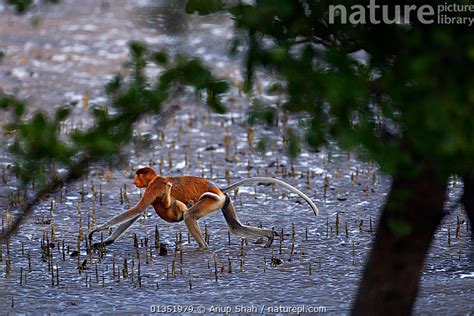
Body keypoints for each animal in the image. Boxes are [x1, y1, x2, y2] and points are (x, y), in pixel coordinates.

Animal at [89, 167, 318, 251]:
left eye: (139, 175)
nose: (134, 181)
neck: (156, 178)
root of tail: (220, 190)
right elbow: (136, 214)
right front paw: (105, 241)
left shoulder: (154, 186)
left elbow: (137, 210)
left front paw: (98, 230)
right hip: (224, 202)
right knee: (236, 227)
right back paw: (269, 236)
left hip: (211, 201)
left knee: (190, 216)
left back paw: (202, 247)